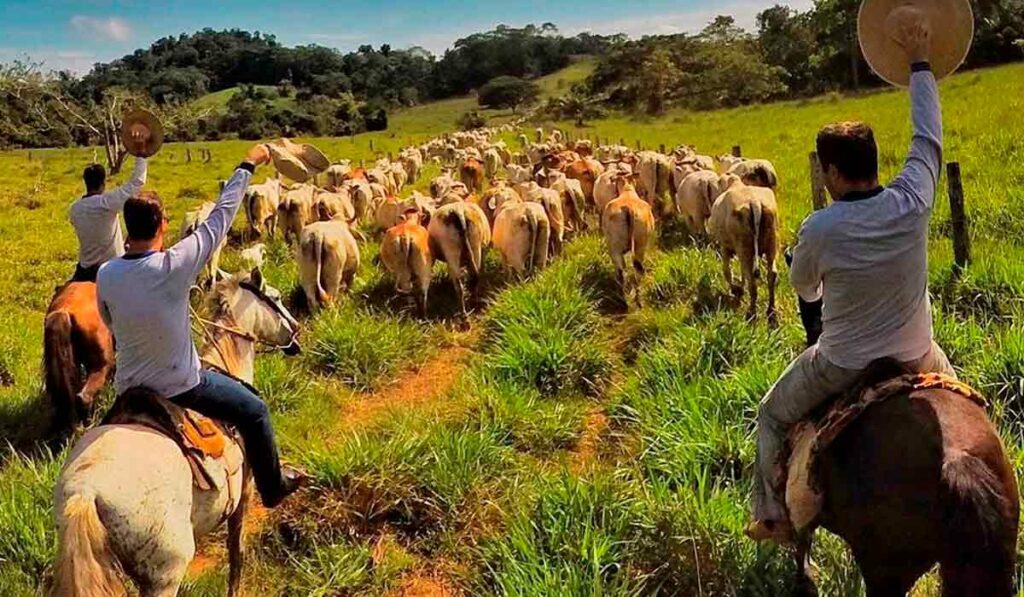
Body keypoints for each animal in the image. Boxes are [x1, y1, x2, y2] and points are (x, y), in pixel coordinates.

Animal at [51, 270, 299, 597]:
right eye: (277, 297)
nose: (296, 331)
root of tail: (85, 491)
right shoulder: (244, 494)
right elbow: (237, 553)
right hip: (164, 577)